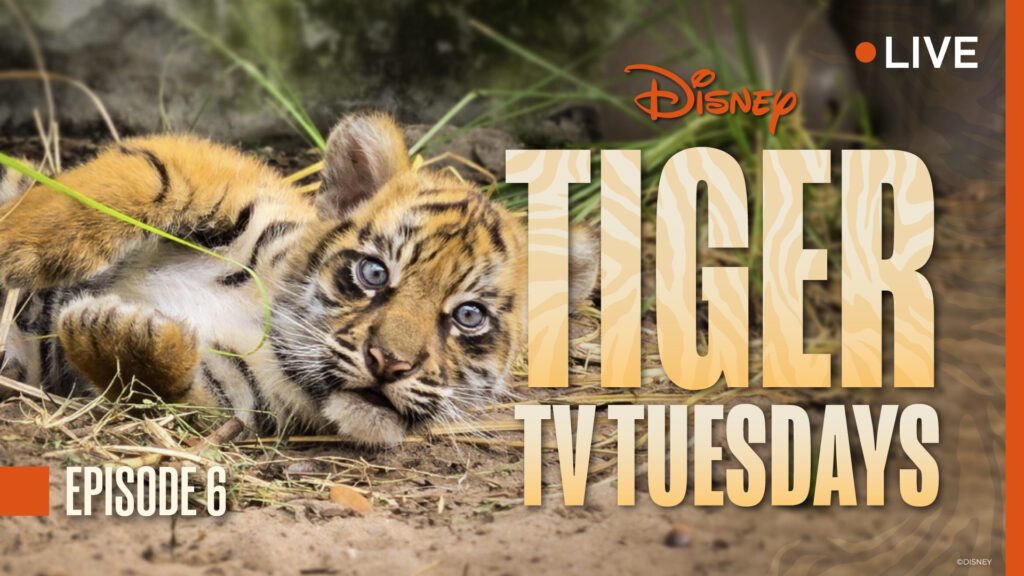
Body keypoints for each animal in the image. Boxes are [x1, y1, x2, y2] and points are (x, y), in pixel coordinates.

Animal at [0, 113, 598, 446]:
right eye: (373, 272)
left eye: (469, 316)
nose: (390, 364)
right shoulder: (205, 170)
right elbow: (118, 187)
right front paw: (15, 247)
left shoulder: (229, 389)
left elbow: (162, 380)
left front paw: (117, 334)